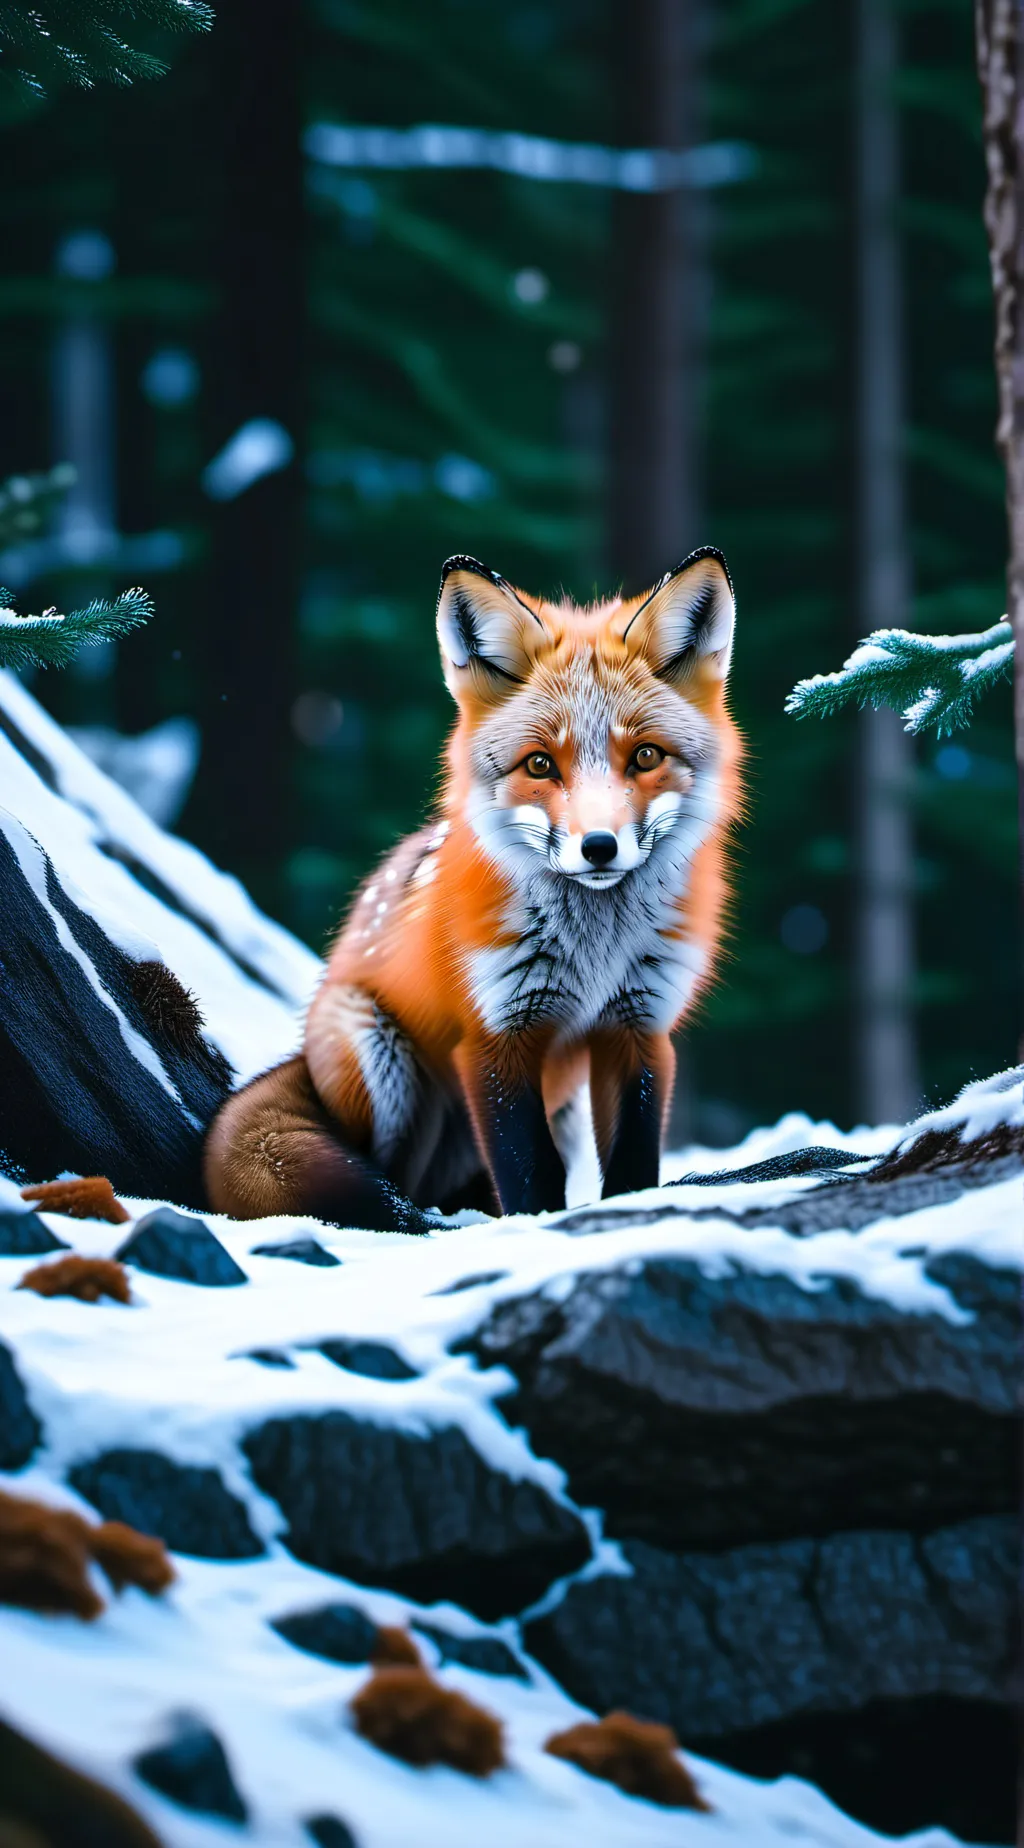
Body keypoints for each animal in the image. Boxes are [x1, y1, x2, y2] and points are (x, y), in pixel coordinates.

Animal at [203, 546, 743, 1231]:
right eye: (539, 763)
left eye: (645, 756)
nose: (599, 847)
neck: (594, 952)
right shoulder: (494, 1035)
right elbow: (530, 1175)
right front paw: (532, 1231)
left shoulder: (639, 1028)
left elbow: (631, 1163)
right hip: (387, 1070)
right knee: (395, 1178)